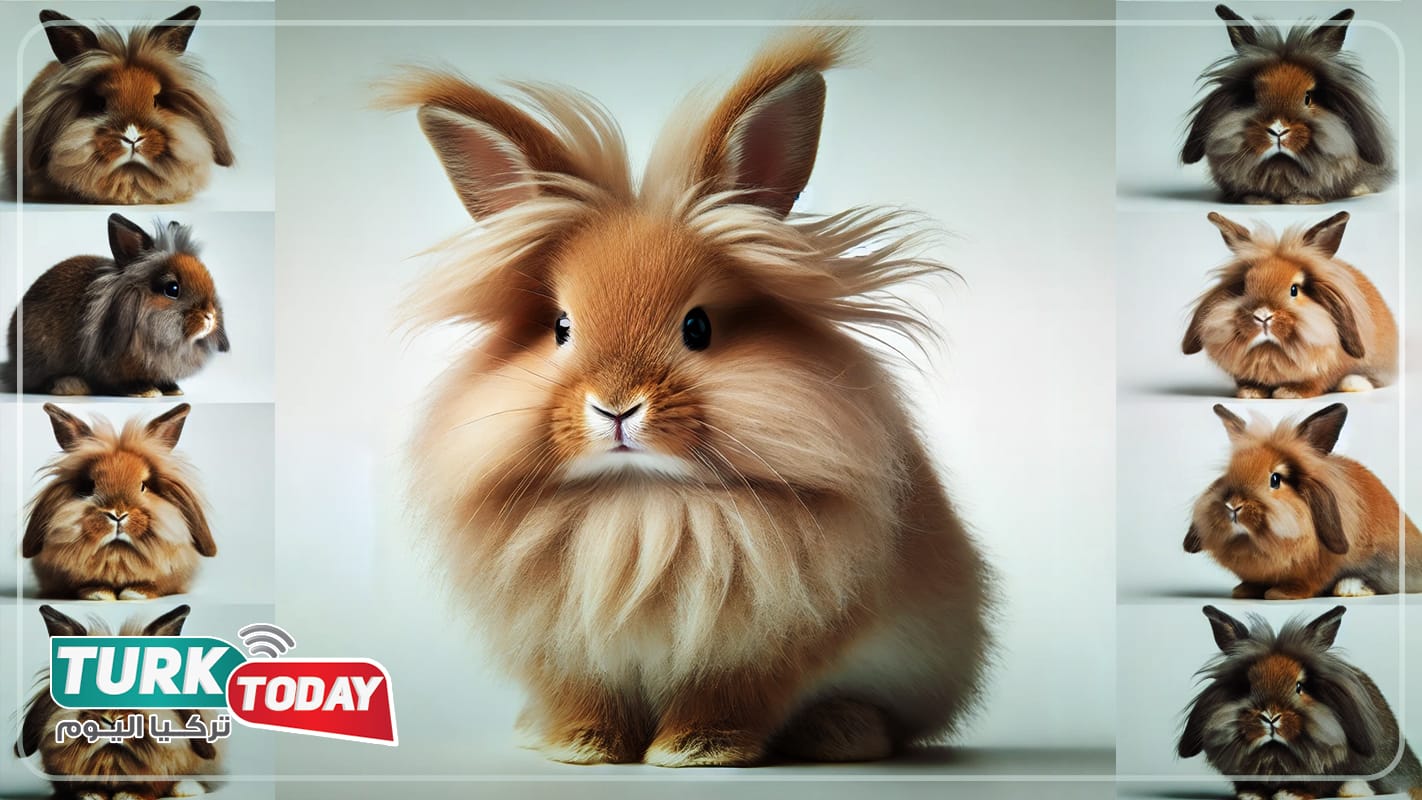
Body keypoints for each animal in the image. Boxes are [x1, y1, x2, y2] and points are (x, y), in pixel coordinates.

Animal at [23, 402, 217, 600]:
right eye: (89, 486)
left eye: (143, 486)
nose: (118, 514)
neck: (117, 552)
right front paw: (99, 594)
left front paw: (135, 593)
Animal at [379, 28, 992, 767]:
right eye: (560, 328)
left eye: (697, 327)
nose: (616, 407)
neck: (640, 504)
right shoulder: (565, 649)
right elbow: (587, 693)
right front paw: (583, 747)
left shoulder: (773, 643)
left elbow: (730, 694)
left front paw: (694, 750)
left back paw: (840, 734)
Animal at [1179, 605, 1422, 800]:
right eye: (1246, 687)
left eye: (1299, 687)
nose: (1270, 716)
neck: (1274, 753)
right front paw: (1250, 795)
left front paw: (1289, 794)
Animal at [1182, 211, 1396, 399]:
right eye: (1243, 286)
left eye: (1294, 289)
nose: (1263, 316)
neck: (1270, 351)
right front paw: (1250, 393)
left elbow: (1314, 382)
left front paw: (1289, 393)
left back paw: (1353, 383)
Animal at [1184, 402, 1422, 600]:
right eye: (1229, 473)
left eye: (1275, 479)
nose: (1233, 505)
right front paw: (1243, 591)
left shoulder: (1318, 570)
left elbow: (1305, 584)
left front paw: (1280, 594)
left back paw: (1348, 588)